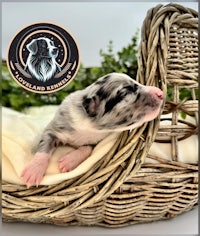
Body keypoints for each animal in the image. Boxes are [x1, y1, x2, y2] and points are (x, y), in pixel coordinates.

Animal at [21, 73, 163, 187]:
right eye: (126, 91)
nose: (161, 93)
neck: (89, 125)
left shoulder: (98, 140)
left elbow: (87, 148)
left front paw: (68, 161)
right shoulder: (53, 129)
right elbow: (43, 148)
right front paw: (33, 171)